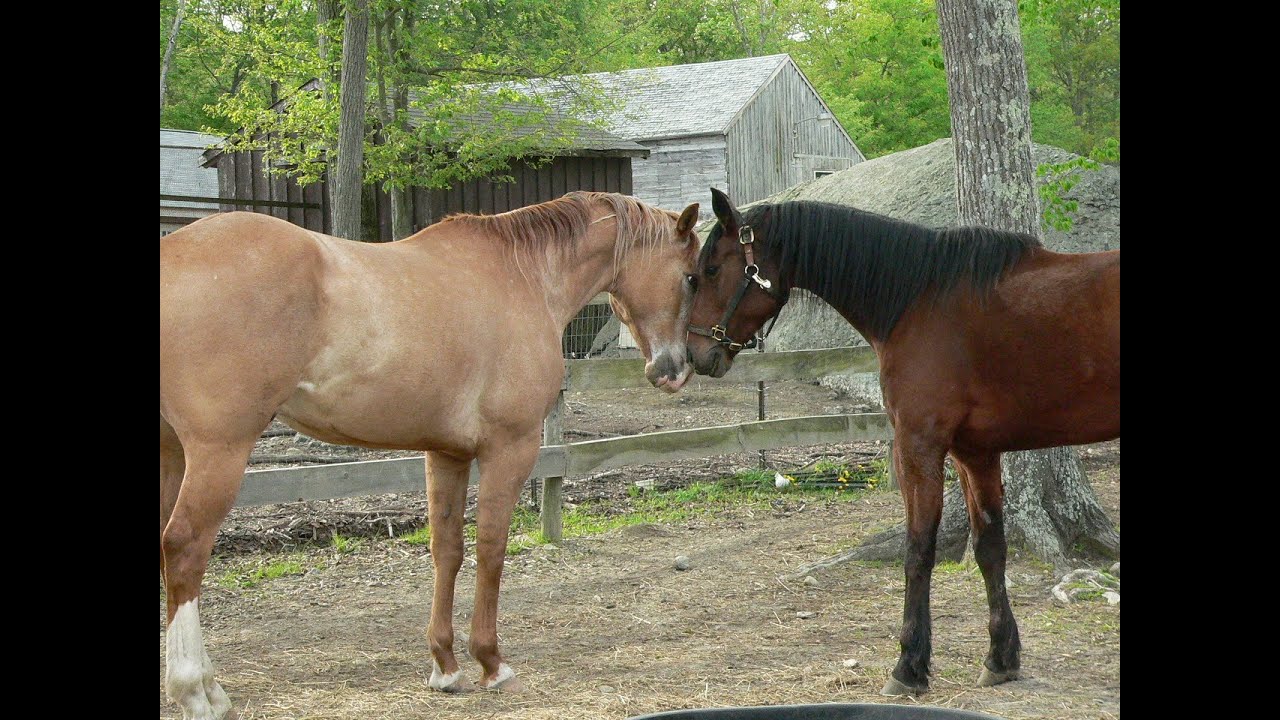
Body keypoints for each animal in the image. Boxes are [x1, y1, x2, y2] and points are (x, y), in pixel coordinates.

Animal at [160, 191, 701, 719]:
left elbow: (448, 551)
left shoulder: (446, 453)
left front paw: (446, 665)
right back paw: (197, 691)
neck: (523, 276)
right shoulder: (510, 448)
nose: (675, 369)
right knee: (184, 550)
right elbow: (491, 548)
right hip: (219, 453)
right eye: (692, 276)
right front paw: (491, 662)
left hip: (173, 454)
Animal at [686, 187, 1119, 697]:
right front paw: (1001, 657)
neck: (918, 299)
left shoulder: (918, 446)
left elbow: (918, 552)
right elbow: (990, 548)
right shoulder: (974, 453)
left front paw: (909, 665)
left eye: (712, 270)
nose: (695, 353)